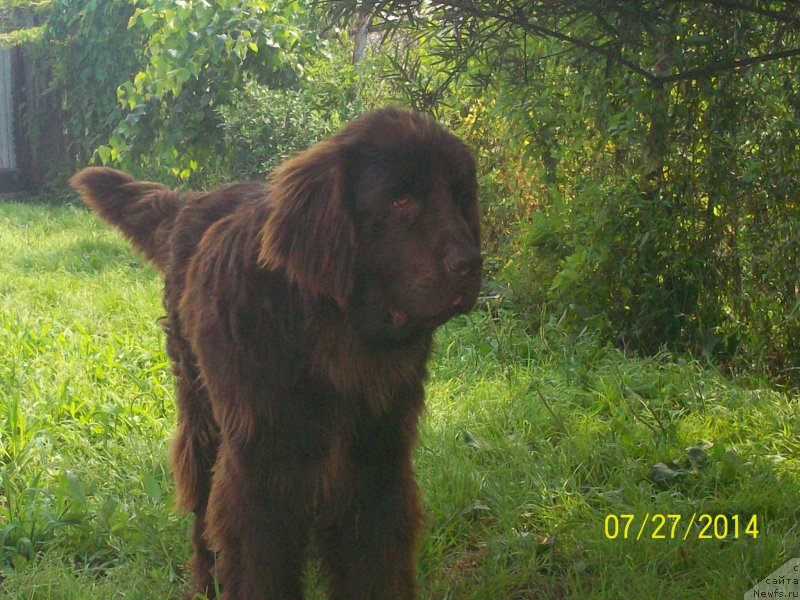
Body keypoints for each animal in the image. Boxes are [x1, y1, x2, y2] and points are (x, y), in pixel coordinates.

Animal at [70, 109, 482, 600]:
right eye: (401, 201)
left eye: (460, 198)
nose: (471, 264)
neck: (330, 336)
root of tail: (191, 201)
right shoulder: (261, 472)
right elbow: (258, 565)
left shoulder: (377, 464)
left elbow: (375, 566)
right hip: (202, 411)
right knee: (201, 506)